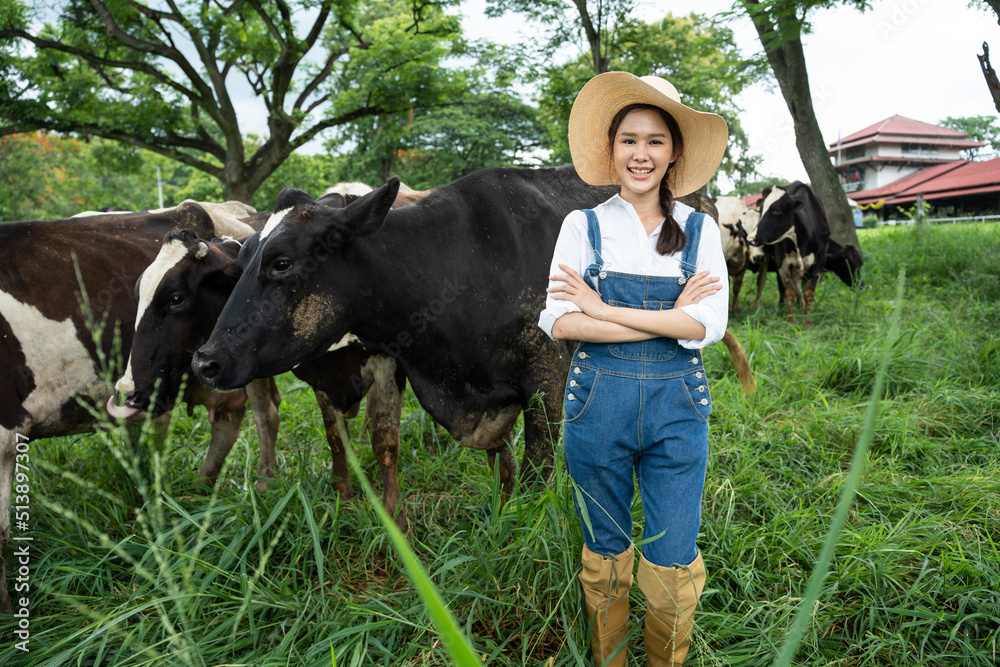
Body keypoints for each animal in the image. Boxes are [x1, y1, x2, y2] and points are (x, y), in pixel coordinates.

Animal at [186, 167, 752, 520]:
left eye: (281, 262)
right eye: (242, 257)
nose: (206, 361)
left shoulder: (546, 379)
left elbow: (536, 473)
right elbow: (500, 466)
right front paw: (498, 515)